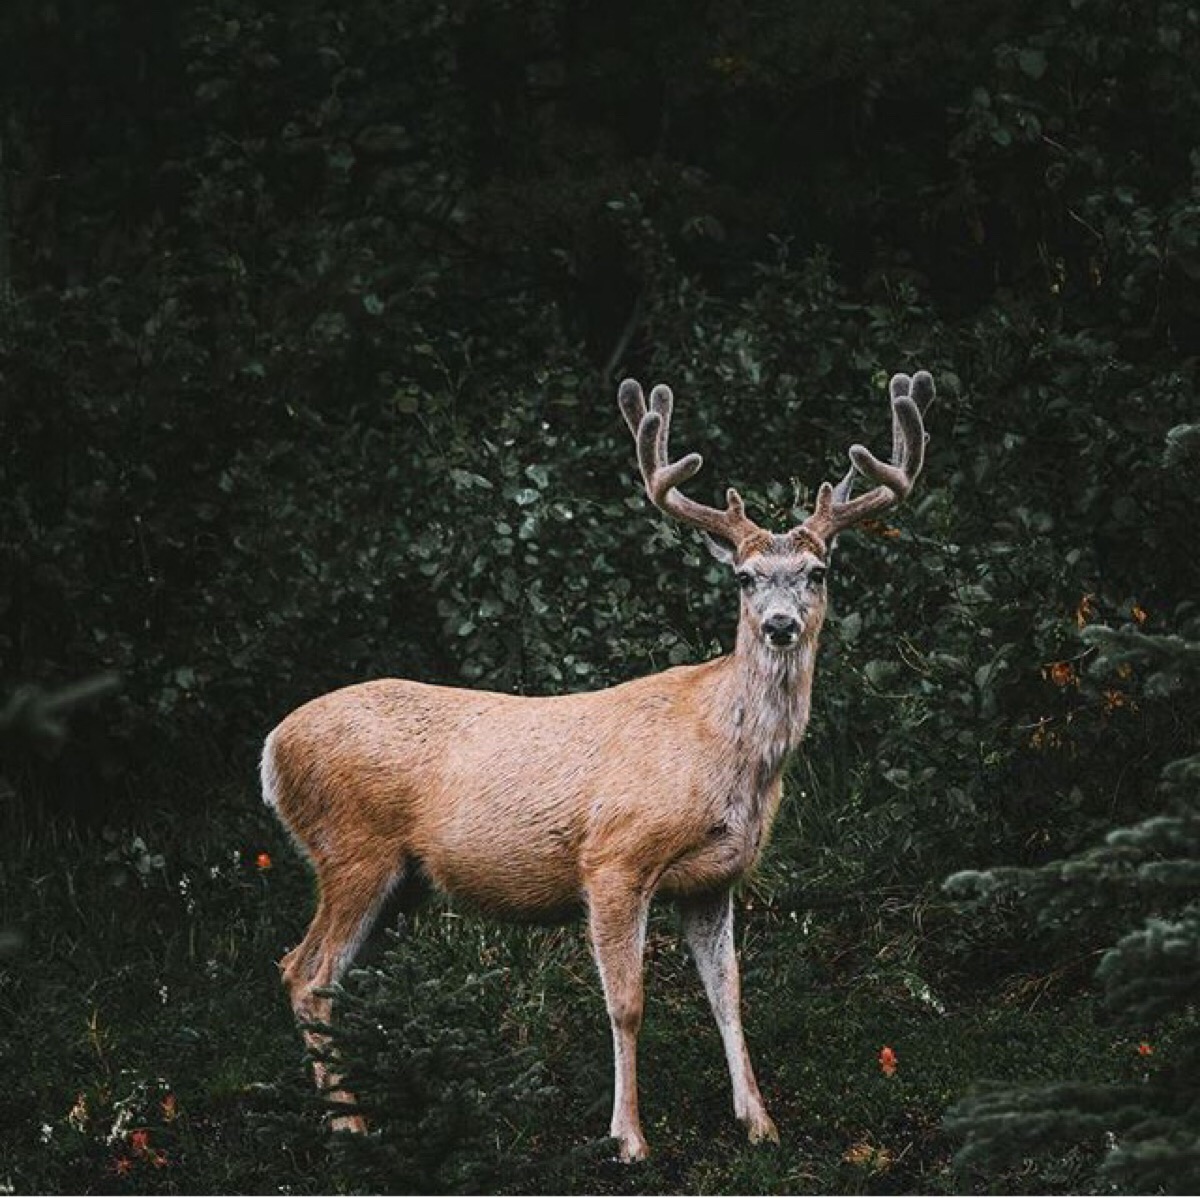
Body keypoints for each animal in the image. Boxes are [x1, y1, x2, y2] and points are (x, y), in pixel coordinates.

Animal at [262, 367, 931, 1161]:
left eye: (818, 572)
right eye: (743, 577)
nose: (779, 626)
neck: (724, 754)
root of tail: (272, 749)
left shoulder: (716, 878)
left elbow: (730, 995)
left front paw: (759, 1122)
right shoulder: (614, 858)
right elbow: (627, 1002)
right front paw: (630, 1138)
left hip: (399, 879)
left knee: (324, 974)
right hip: (352, 847)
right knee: (307, 973)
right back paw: (349, 1123)